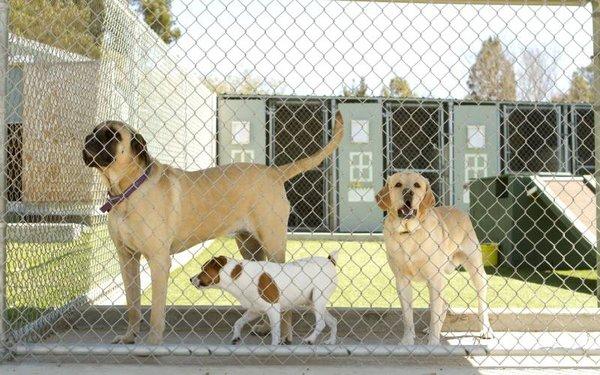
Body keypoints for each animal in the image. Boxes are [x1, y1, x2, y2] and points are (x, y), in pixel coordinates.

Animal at [190, 253, 338, 346]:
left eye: (203, 269)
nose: (190, 279)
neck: (237, 275)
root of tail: (330, 261)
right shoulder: (255, 310)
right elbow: (238, 322)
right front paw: (236, 337)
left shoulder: (273, 309)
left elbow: (275, 333)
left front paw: (274, 346)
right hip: (313, 303)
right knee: (333, 321)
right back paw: (331, 342)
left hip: (318, 300)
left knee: (321, 324)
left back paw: (310, 339)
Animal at [376, 172, 492, 346]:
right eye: (397, 184)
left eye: (417, 185)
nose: (408, 192)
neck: (409, 234)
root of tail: (458, 210)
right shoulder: (402, 280)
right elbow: (407, 317)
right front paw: (407, 341)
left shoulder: (435, 278)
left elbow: (435, 316)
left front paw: (433, 344)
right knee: (443, 304)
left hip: (475, 270)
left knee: (481, 300)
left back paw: (485, 330)